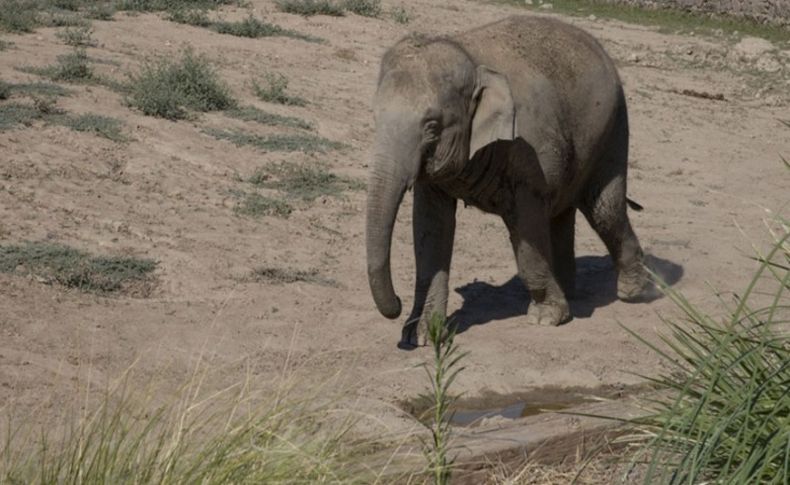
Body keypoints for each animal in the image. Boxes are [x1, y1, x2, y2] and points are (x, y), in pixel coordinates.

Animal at [366, 15, 648, 346]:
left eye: (431, 126)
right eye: (375, 115)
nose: (396, 304)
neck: (471, 57)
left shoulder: (528, 151)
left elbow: (526, 225)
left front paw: (546, 318)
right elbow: (430, 228)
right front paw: (421, 335)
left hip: (614, 126)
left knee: (605, 209)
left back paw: (634, 292)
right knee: (562, 212)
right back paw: (572, 292)